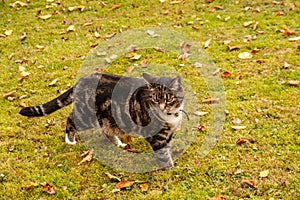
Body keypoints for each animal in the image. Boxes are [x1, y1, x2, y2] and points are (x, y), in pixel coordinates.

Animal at [19, 73, 184, 169]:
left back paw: (119, 143)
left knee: (106, 129)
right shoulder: (156, 135)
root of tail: (82, 80)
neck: (170, 117)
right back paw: (70, 141)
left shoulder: (169, 133)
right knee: (71, 119)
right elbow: (163, 153)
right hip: (85, 115)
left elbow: (167, 148)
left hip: (107, 118)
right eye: (155, 100)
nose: (161, 108)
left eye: (168, 99)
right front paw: (170, 169)